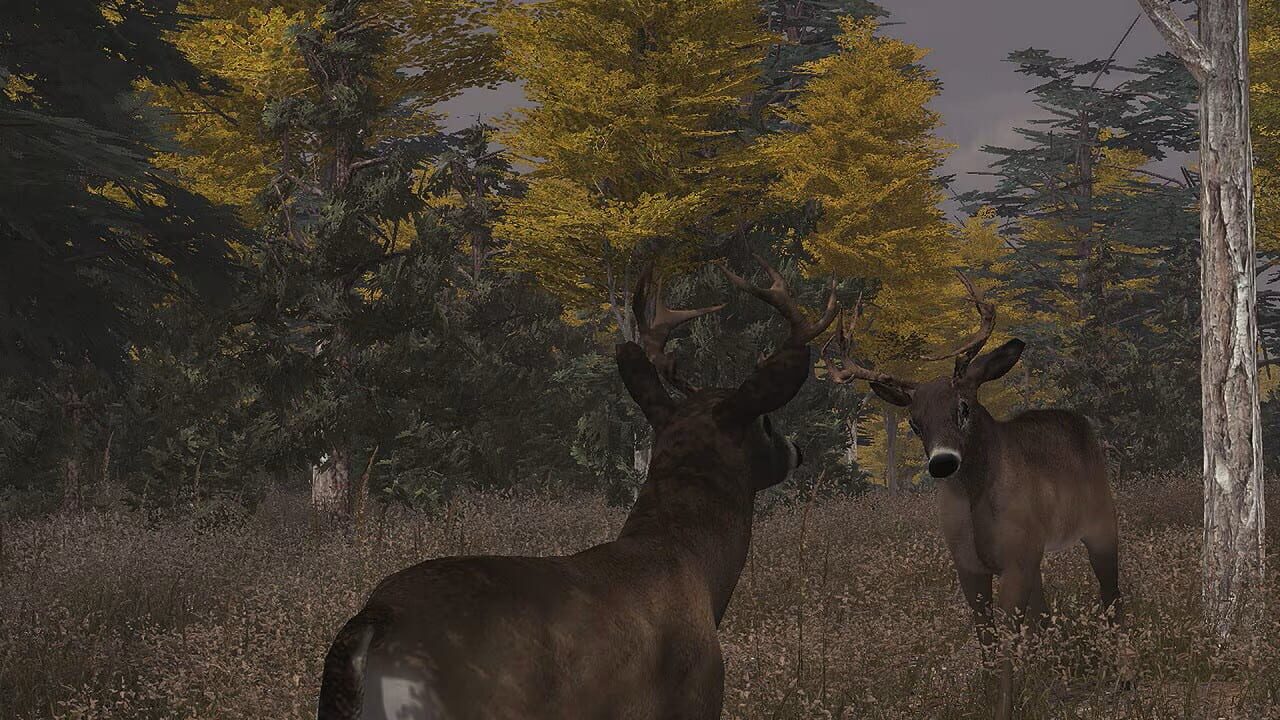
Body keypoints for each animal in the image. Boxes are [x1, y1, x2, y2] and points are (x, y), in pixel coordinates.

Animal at [821, 273, 1121, 720]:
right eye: (915, 423)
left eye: (964, 407)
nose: (942, 462)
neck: (979, 504)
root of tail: (1077, 420)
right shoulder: (970, 564)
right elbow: (987, 642)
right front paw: (994, 697)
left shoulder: (1016, 559)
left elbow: (1008, 642)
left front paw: (1006, 707)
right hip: (1036, 552)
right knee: (1044, 611)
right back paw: (1054, 680)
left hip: (1101, 520)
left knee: (1111, 593)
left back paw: (1122, 676)